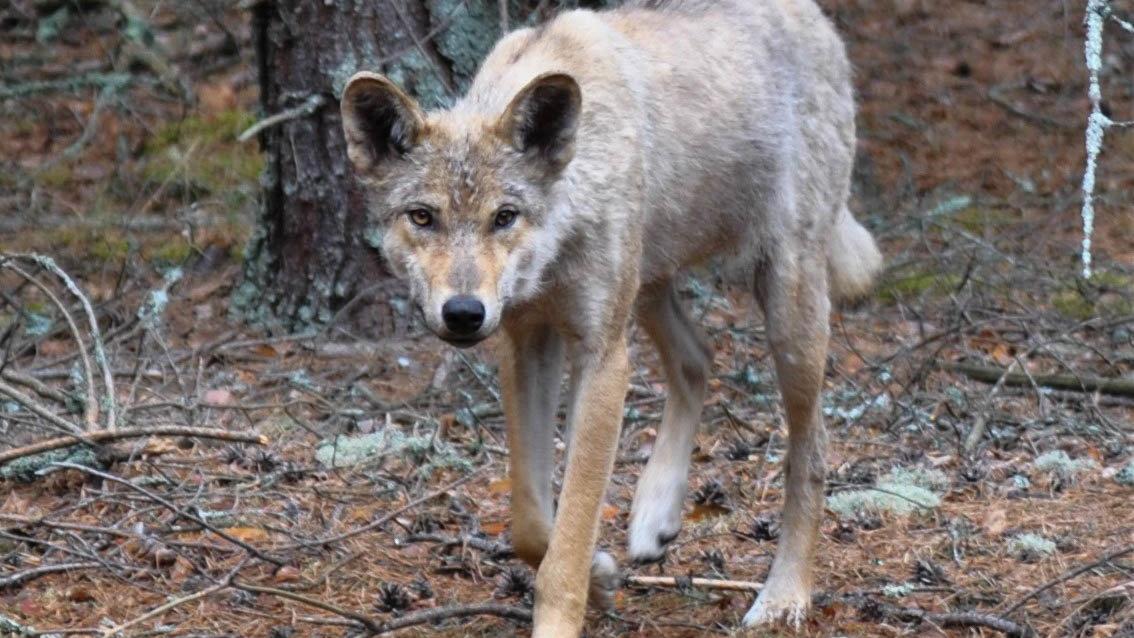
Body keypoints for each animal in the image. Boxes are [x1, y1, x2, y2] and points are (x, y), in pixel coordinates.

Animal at [340, 0, 879, 634]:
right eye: (423, 217)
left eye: (504, 216)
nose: (465, 313)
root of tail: (817, 18)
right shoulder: (526, 344)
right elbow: (530, 522)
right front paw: (600, 575)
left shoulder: (602, 358)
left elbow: (567, 538)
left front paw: (565, 609)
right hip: (648, 288)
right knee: (699, 358)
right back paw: (654, 514)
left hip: (785, 310)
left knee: (811, 451)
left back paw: (784, 595)